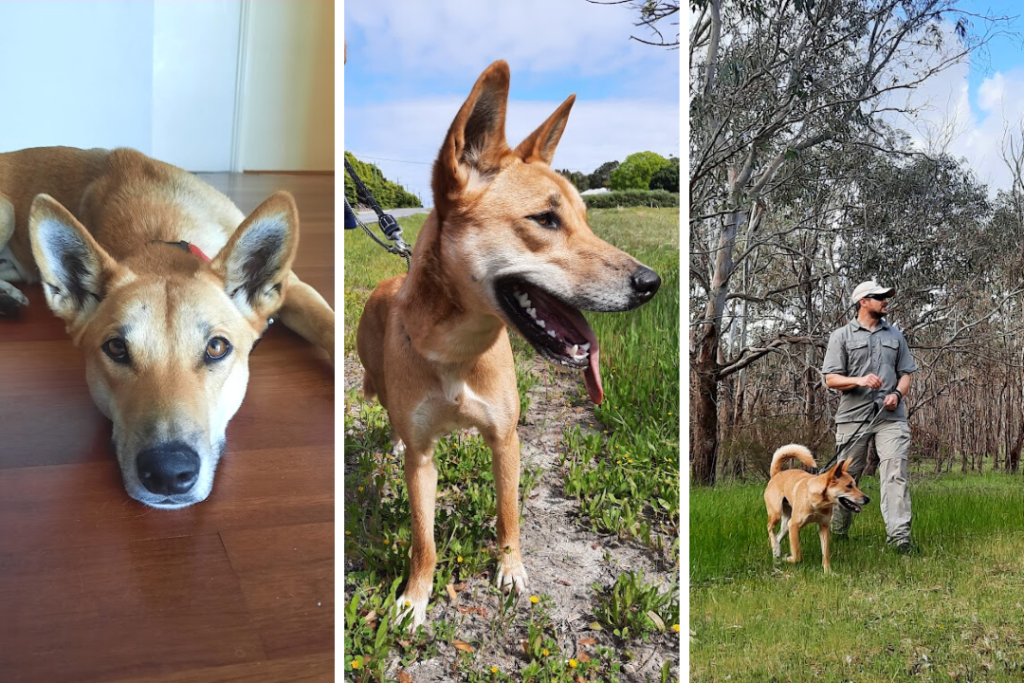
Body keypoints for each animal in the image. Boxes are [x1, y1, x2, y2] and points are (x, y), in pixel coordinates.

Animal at [360, 61, 659, 626]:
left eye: (585, 219)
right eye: (546, 219)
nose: (651, 283)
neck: (456, 352)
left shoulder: (506, 440)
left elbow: (508, 514)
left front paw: (511, 570)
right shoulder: (422, 460)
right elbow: (423, 539)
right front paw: (415, 597)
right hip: (378, 383)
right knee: (388, 415)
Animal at [765, 444, 868, 573]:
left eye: (855, 484)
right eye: (849, 486)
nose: (867, 499)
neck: (817, 502)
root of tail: (777, 474)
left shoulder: (824, 527)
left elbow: (826, 553)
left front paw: (828, 572)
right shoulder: (794, 526)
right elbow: (797, 555)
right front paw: (788, 558)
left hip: (786, 524)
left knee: (778, 536)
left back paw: (776, 552)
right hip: (777, 515)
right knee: (770, 528)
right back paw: (777, 550)